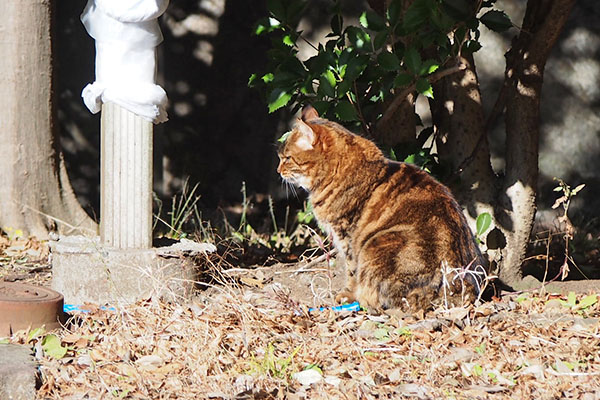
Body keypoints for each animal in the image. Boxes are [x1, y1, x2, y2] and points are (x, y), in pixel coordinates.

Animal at [278, 106, 486, 312]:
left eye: (287, 158)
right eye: (281, 158)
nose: (278, 171)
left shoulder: (347, 238)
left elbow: (351, 271)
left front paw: (347, 294)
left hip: (379, 243)